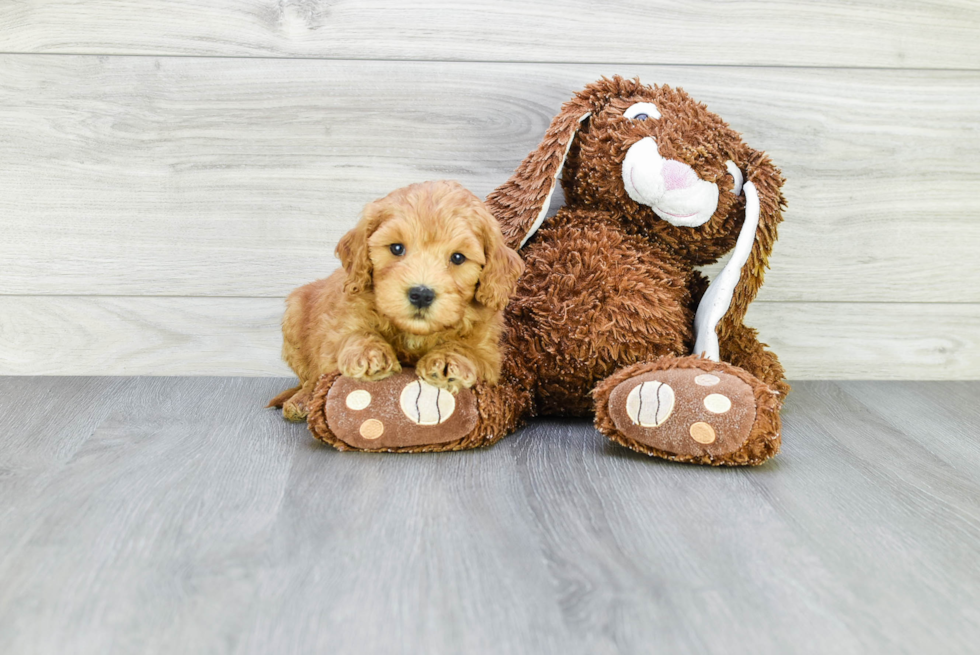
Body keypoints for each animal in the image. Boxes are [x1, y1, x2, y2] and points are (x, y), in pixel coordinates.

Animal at [268, 181, 524, 420]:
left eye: (458, 257)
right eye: (397, 248)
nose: (421, 294)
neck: (415, 334)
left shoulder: (490, 355)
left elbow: (468, 349)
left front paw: (448, 360)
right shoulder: (338, 329)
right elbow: (354, 335)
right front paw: (369, 353)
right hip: (294, 316)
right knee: (309, 379)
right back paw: (301, 400)